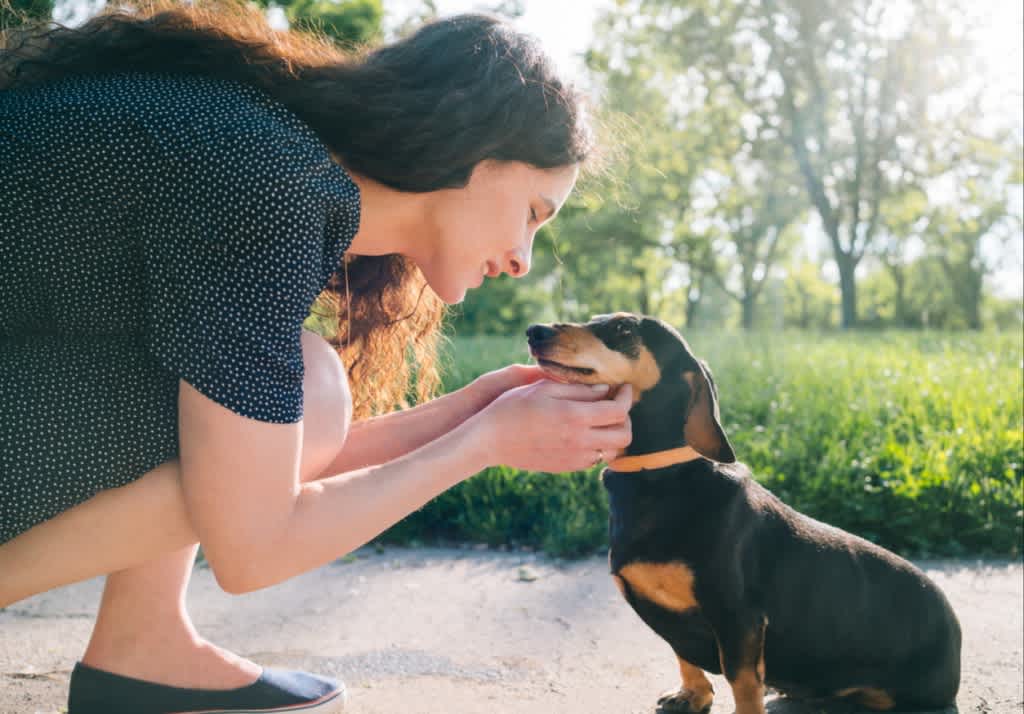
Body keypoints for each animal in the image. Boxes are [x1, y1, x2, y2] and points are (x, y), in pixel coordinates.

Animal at [528, 313, 958, 712]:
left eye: (623, 329)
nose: (535, 331)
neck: (658, 475)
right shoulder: (679, 622)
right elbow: (684, 656)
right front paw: (692, 694)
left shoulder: (738, 617)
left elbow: (743, 682)